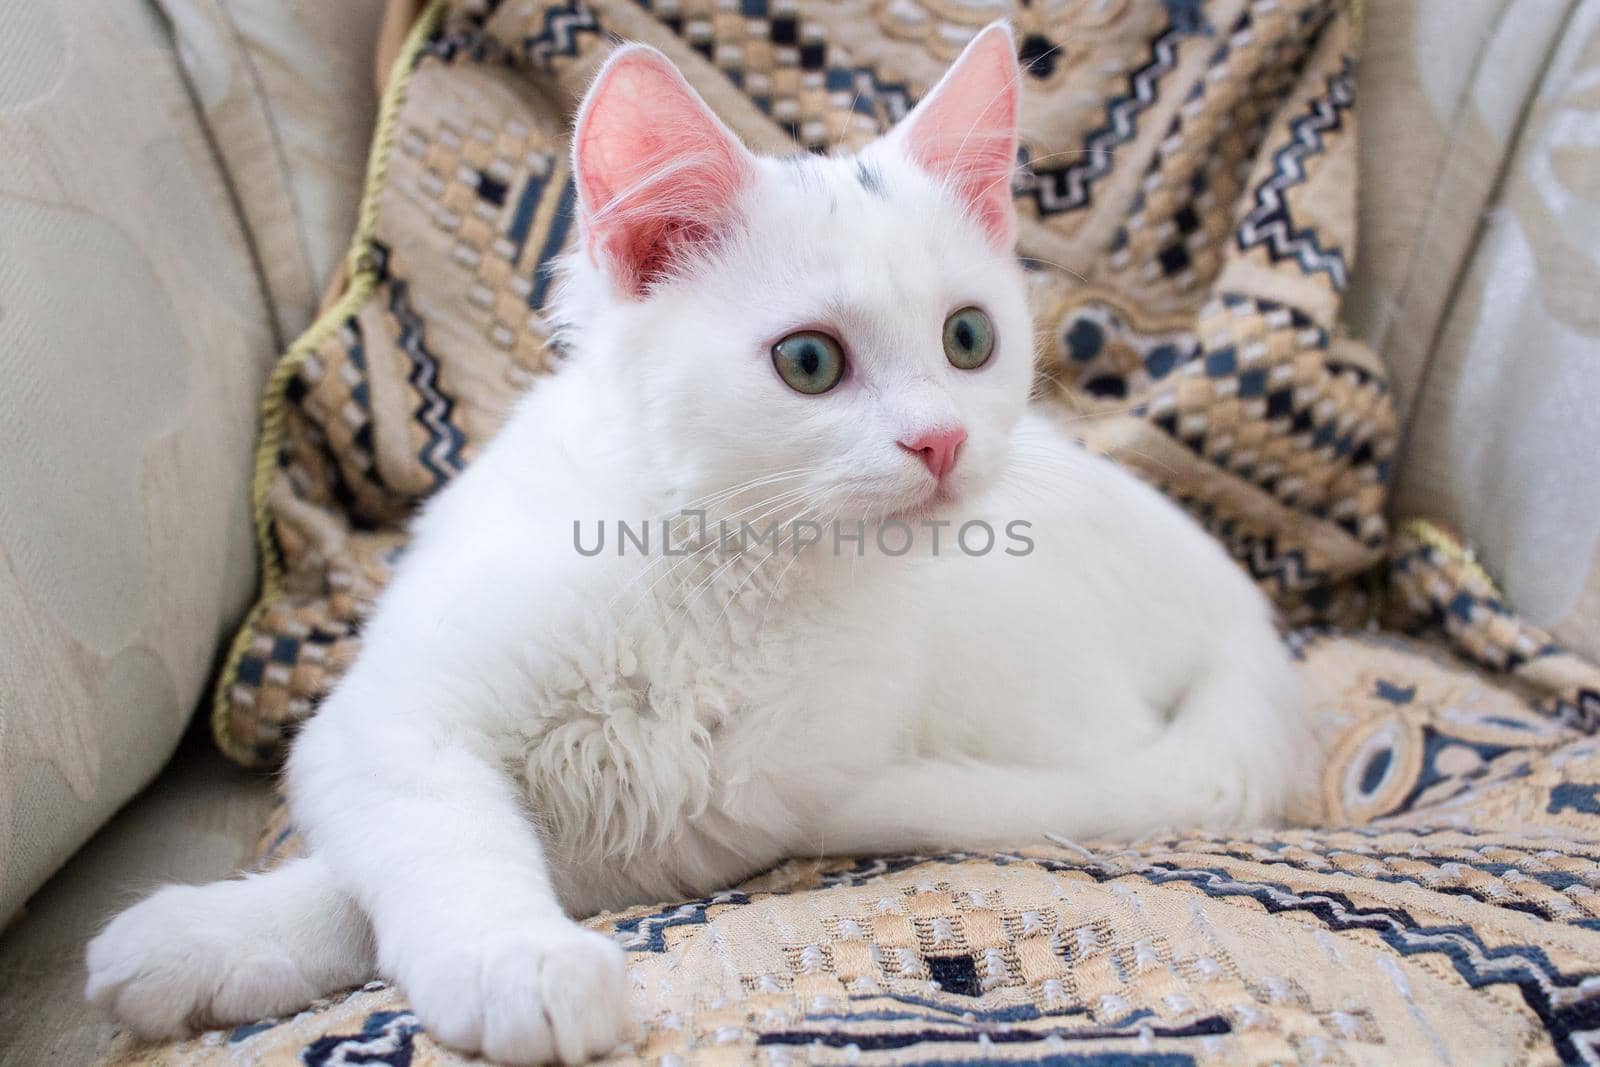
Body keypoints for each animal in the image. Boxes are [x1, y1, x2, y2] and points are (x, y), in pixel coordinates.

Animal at [87, 22, 1312, 1062]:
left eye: (969, 339)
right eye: (809, 362)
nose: (944, 439)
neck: (715, 568)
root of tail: (1244, 610)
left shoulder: (694, 819)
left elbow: (448, 862)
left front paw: (493, 964)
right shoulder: (394, 717)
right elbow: (436, 837)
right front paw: (467, 954)